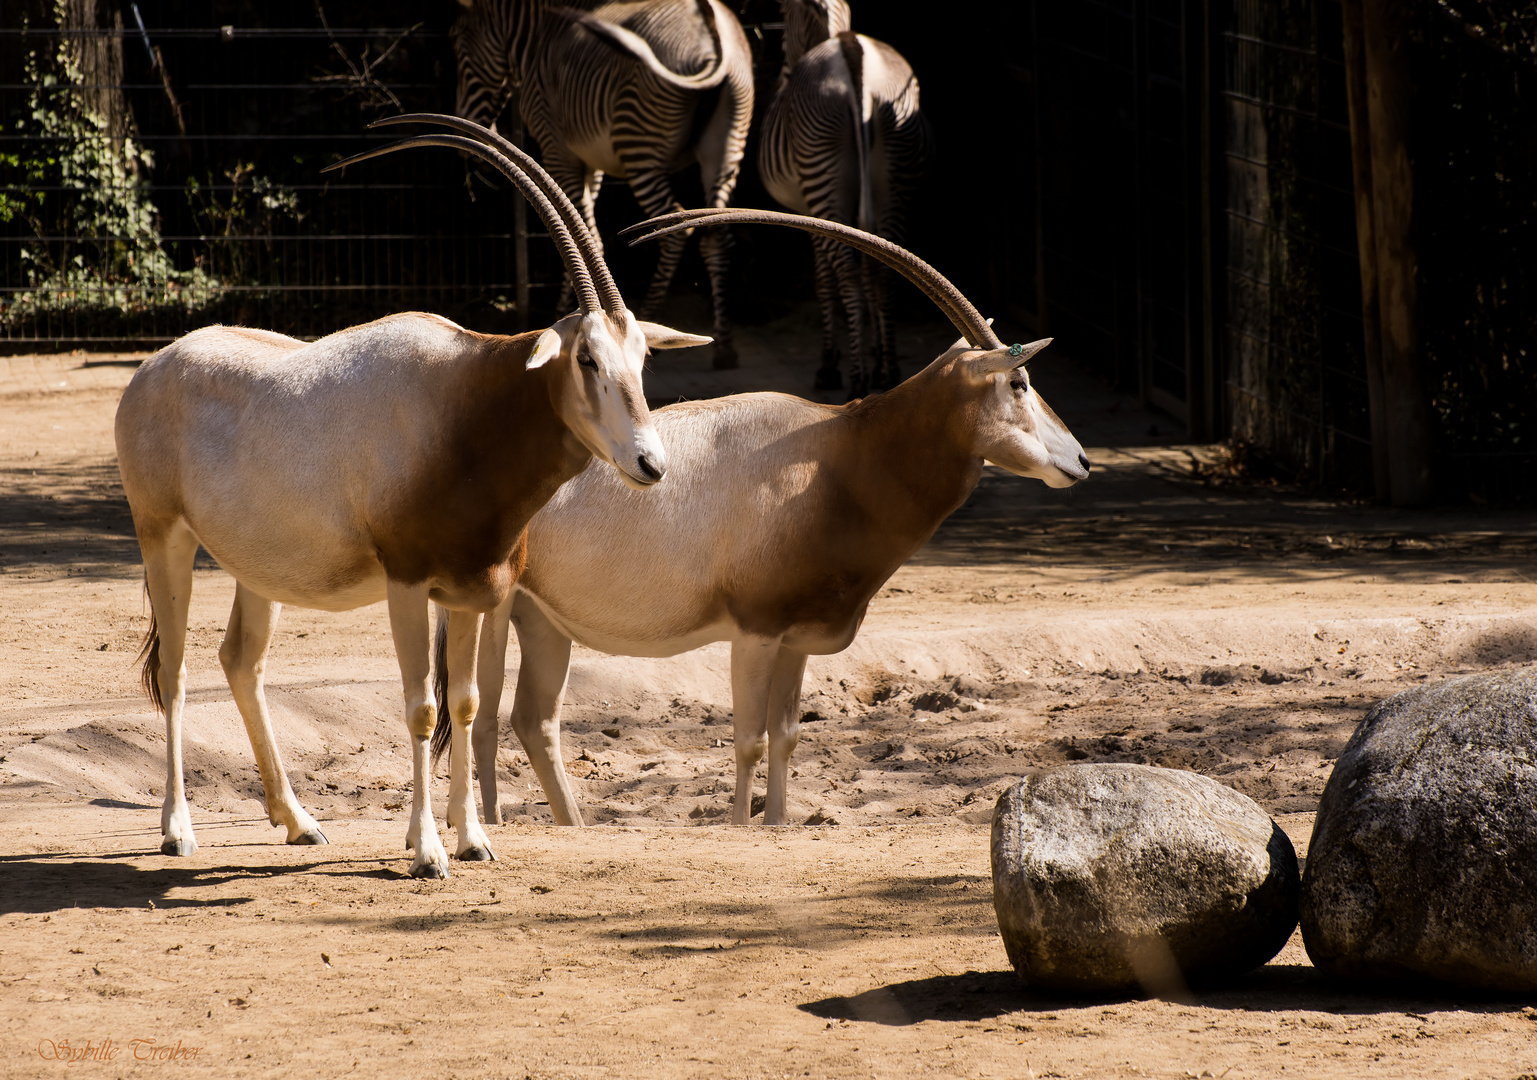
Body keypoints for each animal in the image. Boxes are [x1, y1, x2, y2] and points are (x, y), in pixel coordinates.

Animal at [448, 0, 753, 367]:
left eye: (459, 45)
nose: (466, 118)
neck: (539, 37)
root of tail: (710, 34)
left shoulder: (557, 149)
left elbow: (587, 233)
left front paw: (566, 312)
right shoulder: (590, 164)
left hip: (638, 146)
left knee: (676, 229)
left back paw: (651, 316)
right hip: (724, 148)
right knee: (718, 236)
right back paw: (724, 344)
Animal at [759, 1, 934, 396]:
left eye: (783, 12)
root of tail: (855, 58)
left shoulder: (807, 212)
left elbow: (824, 279)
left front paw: (829, 363)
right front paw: (878, 354)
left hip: (822, 176)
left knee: (848, 273)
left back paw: (856, 381)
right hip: (896, 168)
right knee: (886, 270)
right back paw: (889, 371)